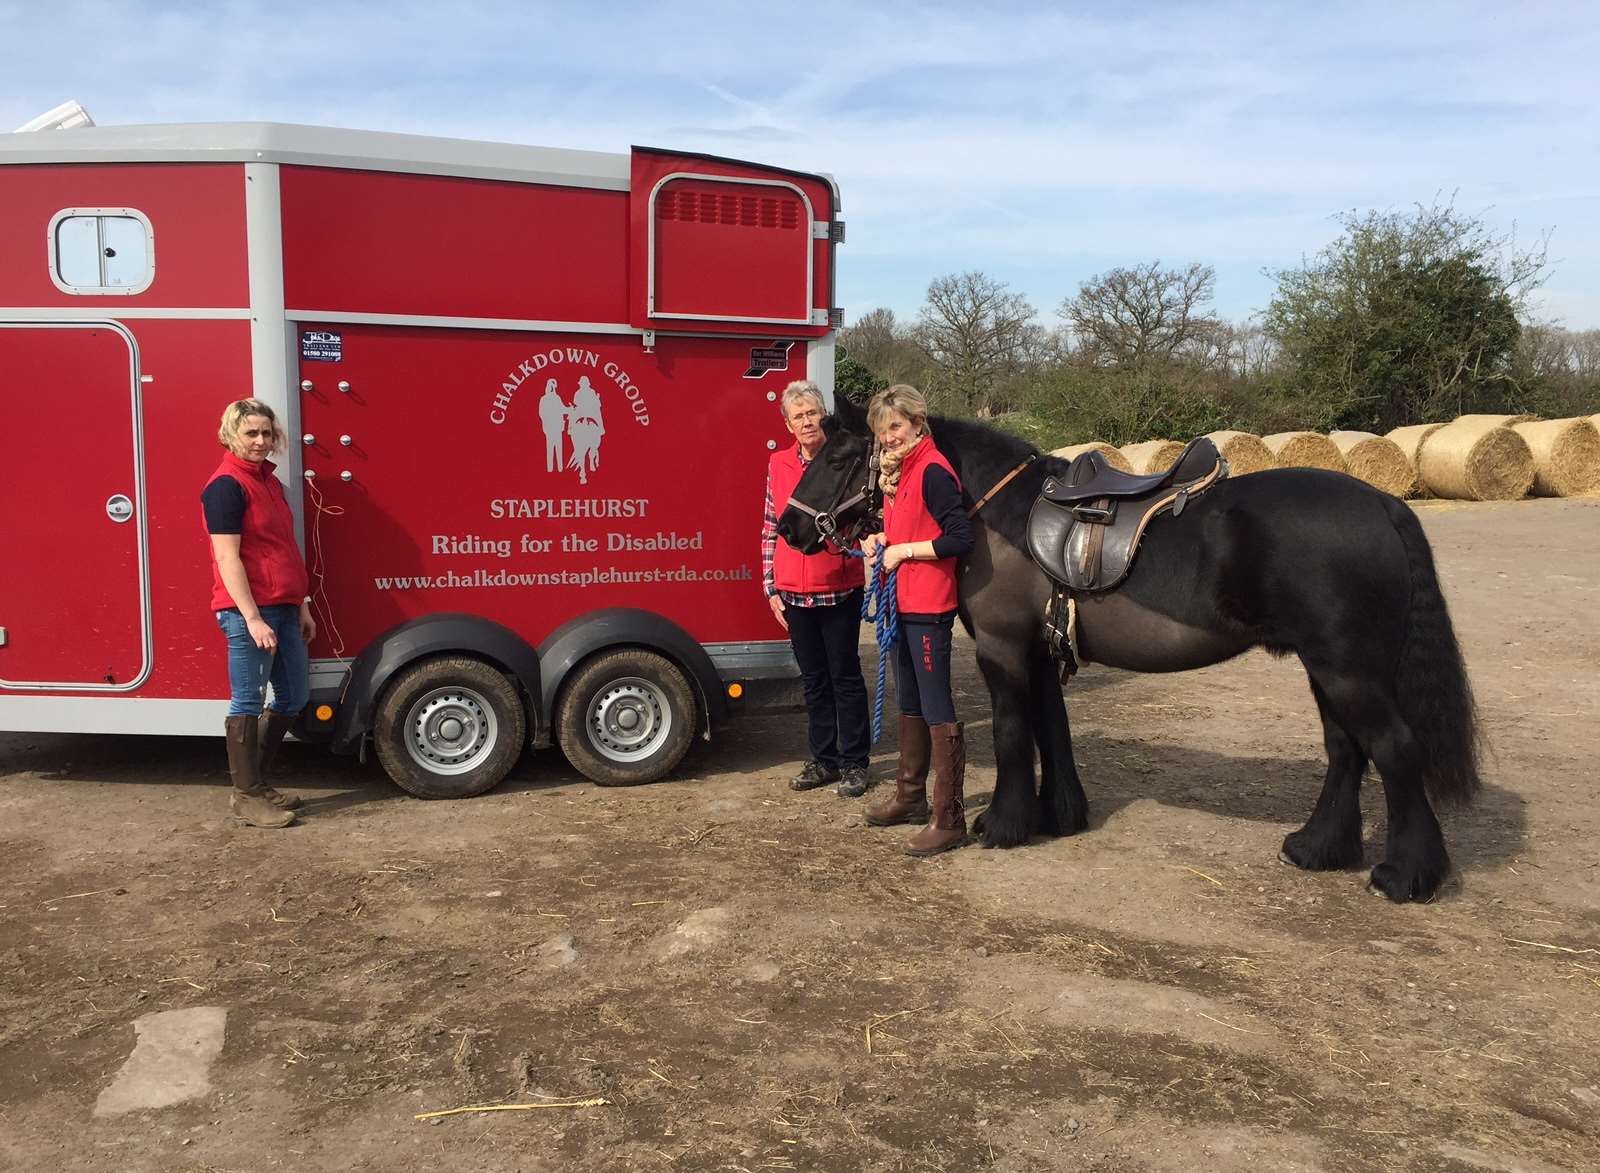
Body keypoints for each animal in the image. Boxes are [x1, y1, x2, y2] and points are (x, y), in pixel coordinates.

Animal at [771, 398, 1472, 902]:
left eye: (839, 455)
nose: (791, 527)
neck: (993, 515)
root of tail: (1382, 504)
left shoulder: (1003, 648)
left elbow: (1010, 731)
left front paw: (1002, 825)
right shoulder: (1039, 652)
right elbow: (1051, 729)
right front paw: (1058, 815)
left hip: (1348, 669)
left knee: (1394, 749)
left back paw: (1405, 875)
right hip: (1327, 669)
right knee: (1346, 750)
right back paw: (1318, 849)